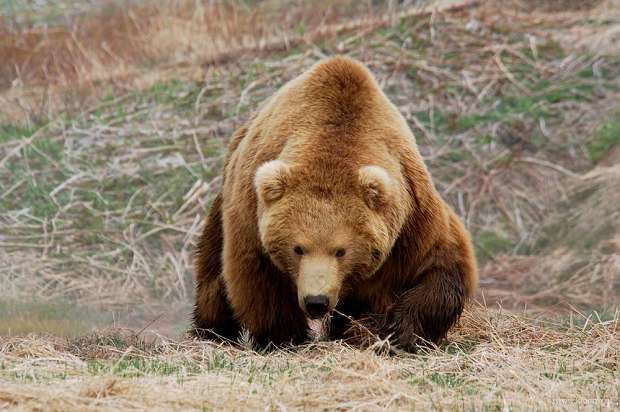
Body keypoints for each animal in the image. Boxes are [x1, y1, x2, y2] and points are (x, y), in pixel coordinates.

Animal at [191, 54, 478, 350]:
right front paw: (285, 337)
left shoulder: (410, 219)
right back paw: (211, 330)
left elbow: (442, 264)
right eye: (298, 248)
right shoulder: (252, 218)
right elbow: (260, 284)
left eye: (340, 250)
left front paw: (398, 331)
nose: (316, 301)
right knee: (213, 272)